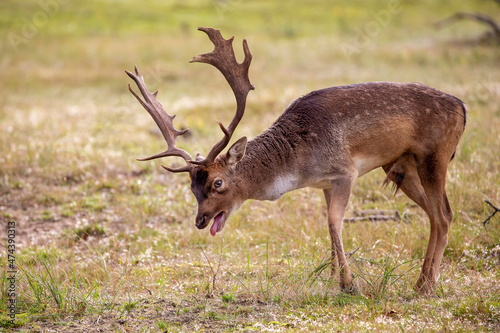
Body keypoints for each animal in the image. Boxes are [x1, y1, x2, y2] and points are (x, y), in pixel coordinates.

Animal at [124, 27, 464, 294]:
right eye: (192, 188)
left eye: (217, 182)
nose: (200, 220)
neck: (298, 167)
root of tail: (463, 108)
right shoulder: (325, 183)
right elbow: (327, 224)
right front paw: (332, 279)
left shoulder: (345, 171)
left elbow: (334, 221)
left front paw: (349, 284)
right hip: (400, 167)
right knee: (434, 214)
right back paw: (421, 282)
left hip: (436, 156)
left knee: (444, 213)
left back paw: (427, 286)